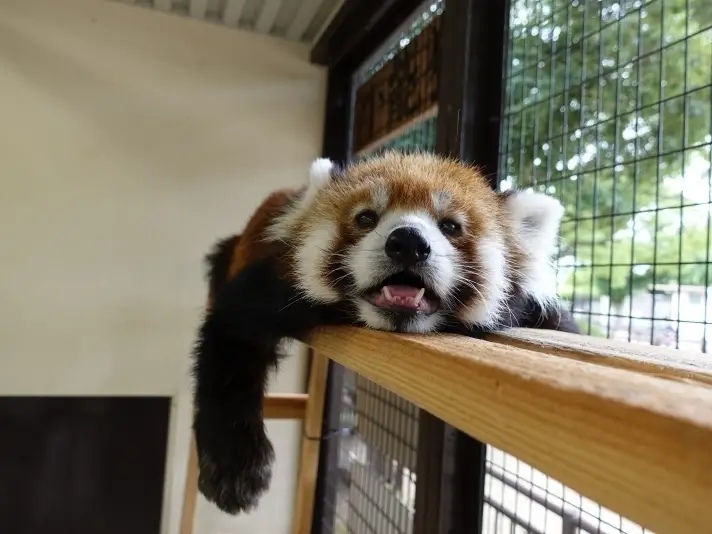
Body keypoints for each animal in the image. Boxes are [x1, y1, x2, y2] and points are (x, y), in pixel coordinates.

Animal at [193, 150, 580, 516]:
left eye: (451, 226)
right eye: (366, 218)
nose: (408, 242)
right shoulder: (272, 286)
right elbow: (228, 345)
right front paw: (235, 467)